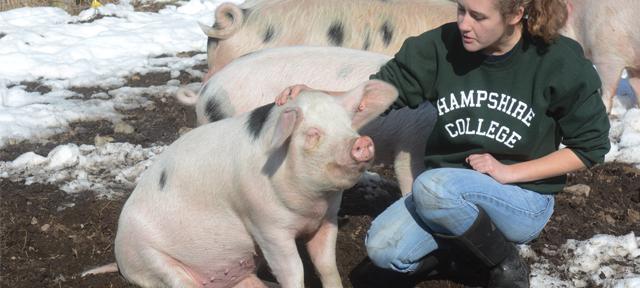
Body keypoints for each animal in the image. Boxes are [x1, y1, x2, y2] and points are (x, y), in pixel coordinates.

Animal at [82, 79, 398, 288]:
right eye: (312, 133)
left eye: (348, 123)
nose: (361, 142)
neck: (312, 205)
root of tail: (119, 257)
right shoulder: (265, 225)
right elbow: (294, 271)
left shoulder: (327, 218)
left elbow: (327, 266)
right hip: (152, 260)